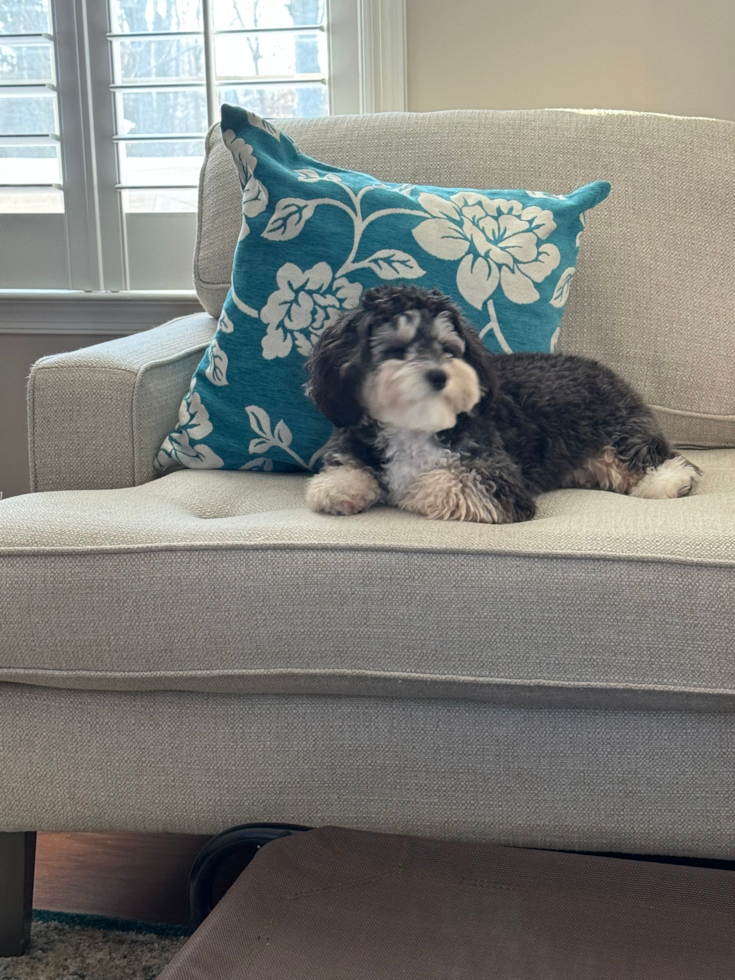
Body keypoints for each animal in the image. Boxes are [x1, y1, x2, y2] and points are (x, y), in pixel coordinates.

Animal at [304, 288, 700, 524]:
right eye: (397, 350)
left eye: (449, 349)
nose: (438, 375)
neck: (417, 427)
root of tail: (608, 372)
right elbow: (345, 470)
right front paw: (341, 486)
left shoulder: (495, 481)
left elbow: (429, 482)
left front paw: (400, 486)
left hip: (618, 431)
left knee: (656, 458)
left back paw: (670, 480)